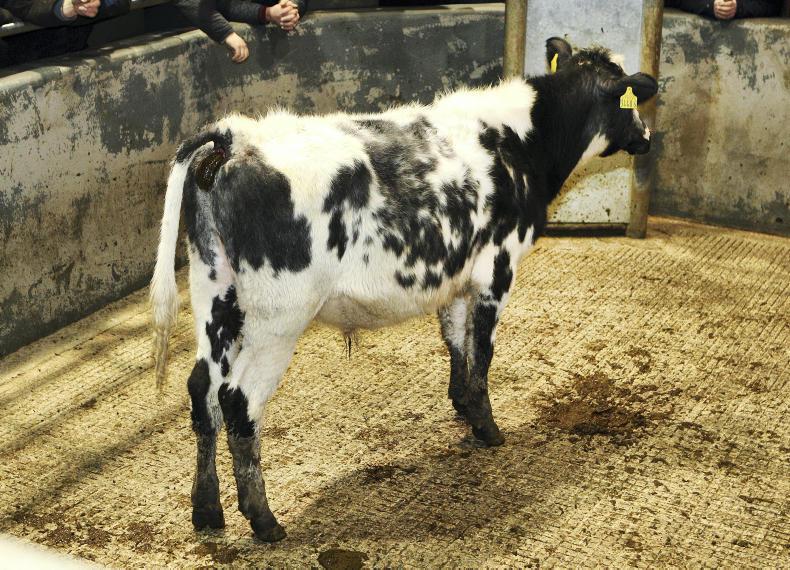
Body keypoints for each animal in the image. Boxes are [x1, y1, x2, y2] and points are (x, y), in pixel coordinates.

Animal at [150, 37, 658, 542]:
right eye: (629, 98)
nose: (648, 137)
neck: (522, 140)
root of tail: (236, 137)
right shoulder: (496, 268)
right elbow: (483, 350)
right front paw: (488, 427)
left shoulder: (455, 276)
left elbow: (456, 342)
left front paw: (463, 407)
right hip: (277, 318)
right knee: (237, 401)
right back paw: (263, 518)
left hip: (215, 294)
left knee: (203, 390)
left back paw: (207, 509)